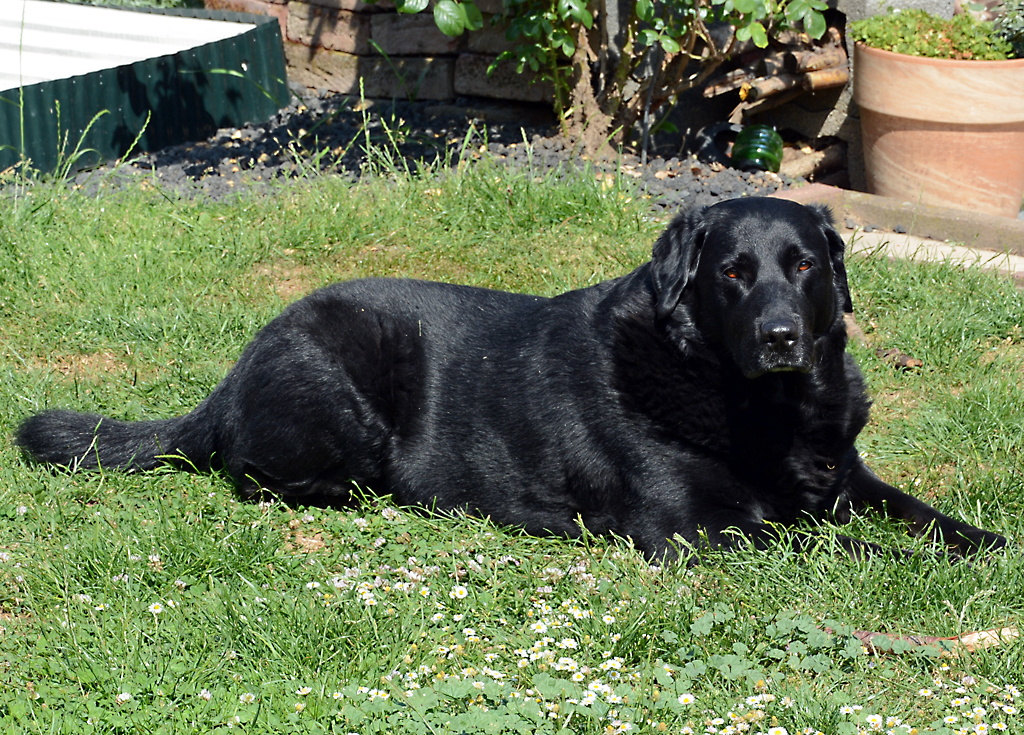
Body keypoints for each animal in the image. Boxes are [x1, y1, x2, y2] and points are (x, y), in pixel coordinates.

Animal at [16, 198, 1007, 560]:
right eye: (733, 272)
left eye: (804, 266)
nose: (780, 337)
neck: (760, 401)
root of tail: (230, 374)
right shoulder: (701, 528)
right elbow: (839, 545)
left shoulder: (846, 477)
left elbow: (918, 515)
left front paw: (985, 544)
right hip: (340, 380)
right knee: (255, 472)